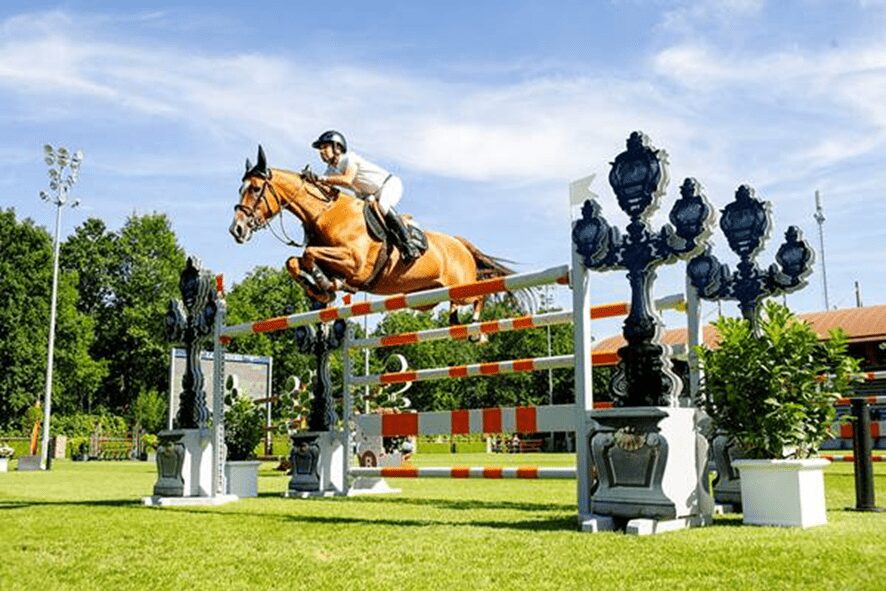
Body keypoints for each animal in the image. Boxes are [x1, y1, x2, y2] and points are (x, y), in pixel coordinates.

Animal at [229, 146, 514, 325]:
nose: (236, 230)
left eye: (255, 189)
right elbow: (294, 261)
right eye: (241, 188)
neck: (326, 214)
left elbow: (309, 254)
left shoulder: (355, 263)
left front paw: (324, 285)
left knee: (480, 295)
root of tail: (460, 244)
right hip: (428, 298)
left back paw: (476, 330)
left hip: (463, 286)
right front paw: (320, 289)